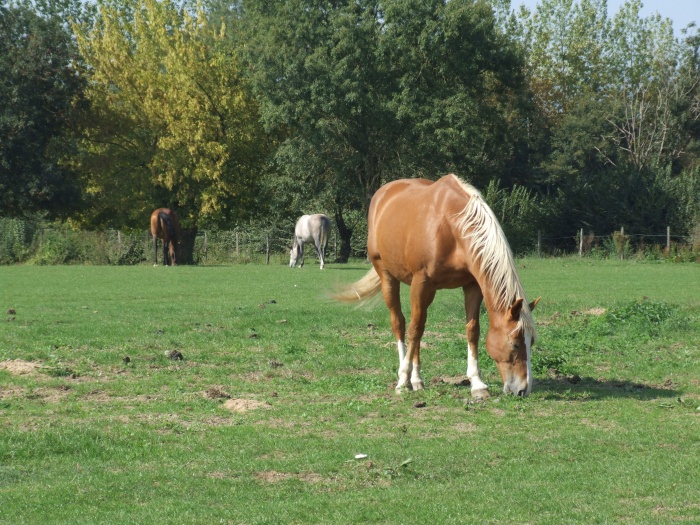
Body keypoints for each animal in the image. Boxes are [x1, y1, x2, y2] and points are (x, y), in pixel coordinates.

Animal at [334, 174, 540, 400]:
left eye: (531, 342)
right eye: (515, 344)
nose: (523, 389)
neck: (452, 226)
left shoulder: (471, 285)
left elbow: (472, 330)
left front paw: (477, 384)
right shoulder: (421, 282)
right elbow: (414, 329)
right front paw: (403, 381)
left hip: (429, 291)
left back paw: (417, 380)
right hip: (388, 276)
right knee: (400, 323)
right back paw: (406, 376)